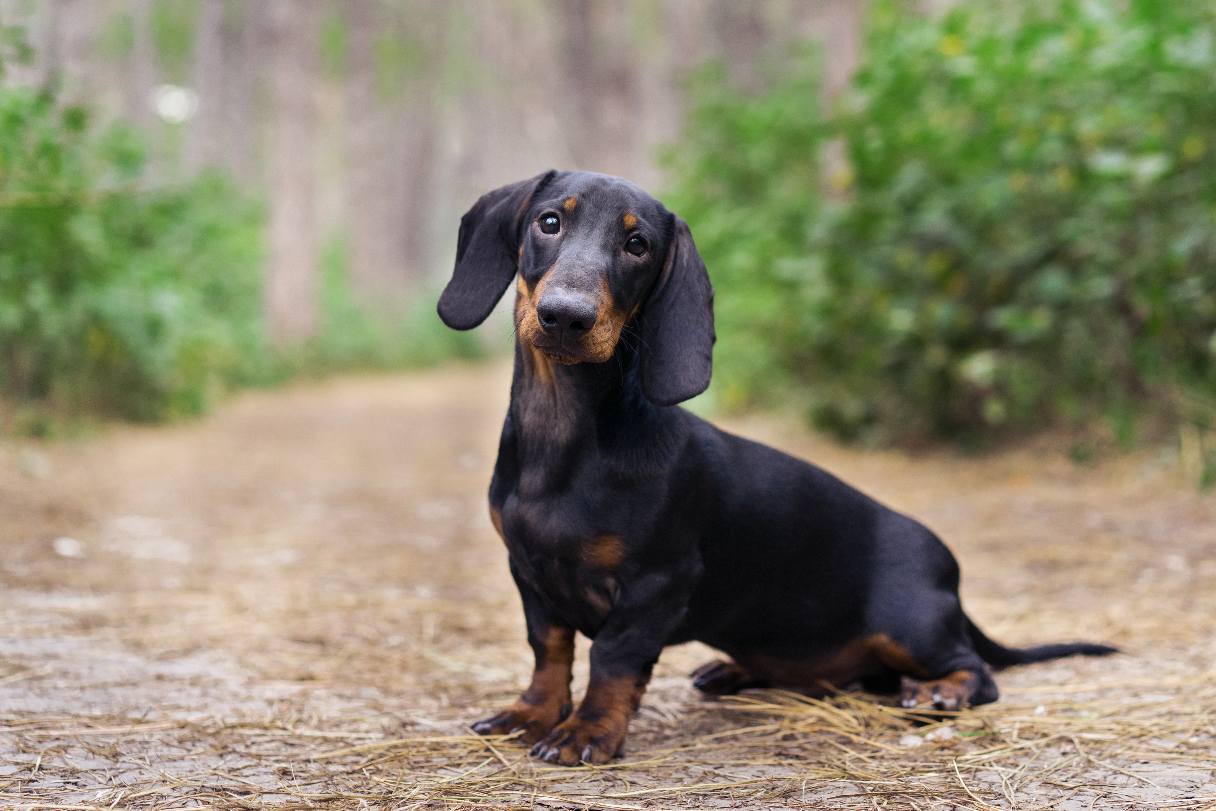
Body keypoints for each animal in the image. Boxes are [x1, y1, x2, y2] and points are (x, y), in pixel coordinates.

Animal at [435, 171, 1113, 768]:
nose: (565, 316)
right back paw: (732, 669)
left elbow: (612, 660)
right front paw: (532, 714)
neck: (565, 438)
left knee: (976, 669)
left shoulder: (658, 584)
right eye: (549, 222)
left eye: (637, 245)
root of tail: (950, 573)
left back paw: (943, 691)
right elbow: (548, 650)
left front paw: (587, 733)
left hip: (911, 623)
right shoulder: (529, 573)